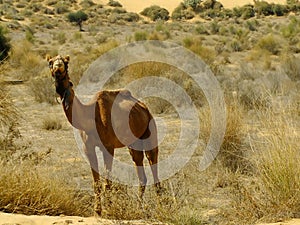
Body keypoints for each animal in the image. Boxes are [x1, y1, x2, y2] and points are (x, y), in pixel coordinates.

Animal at [46, 55, 162, 216]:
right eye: (50, 63)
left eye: (66, 63)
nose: (58, 67)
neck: (88, 117)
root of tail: (144, 107)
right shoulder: (88, 147)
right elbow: (96, 182)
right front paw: (97, 210)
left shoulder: (108, 147)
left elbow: (108, 181)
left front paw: (108, 209)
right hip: (134, 144)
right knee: (141, 174)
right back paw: (139, 208)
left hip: (150, 131)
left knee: (154, 165)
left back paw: (162, 207)